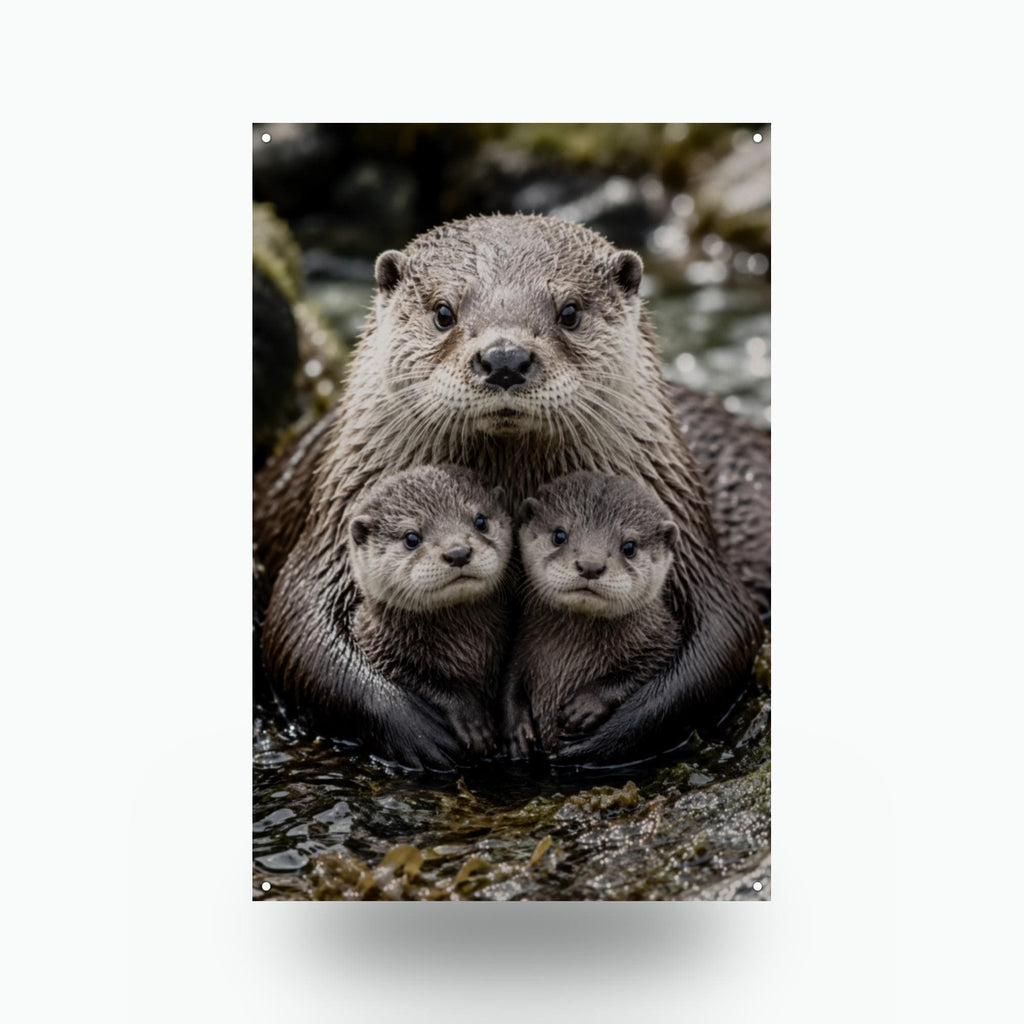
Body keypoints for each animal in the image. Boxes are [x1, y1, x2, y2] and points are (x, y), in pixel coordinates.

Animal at [348, 465, 512, 757]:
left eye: (480, 521)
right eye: (411, 538)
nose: (458, 552)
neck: (467, 647)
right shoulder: (380, 648)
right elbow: (425, 682)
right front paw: (472, 720)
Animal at [505, 473, 681, 758]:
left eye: (629, 546)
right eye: (559, 535)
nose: (590, 565)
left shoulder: (665, 637)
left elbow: (642, 669)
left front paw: (586, 705)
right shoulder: (520, 643)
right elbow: (509, 683)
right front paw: (516, 729)